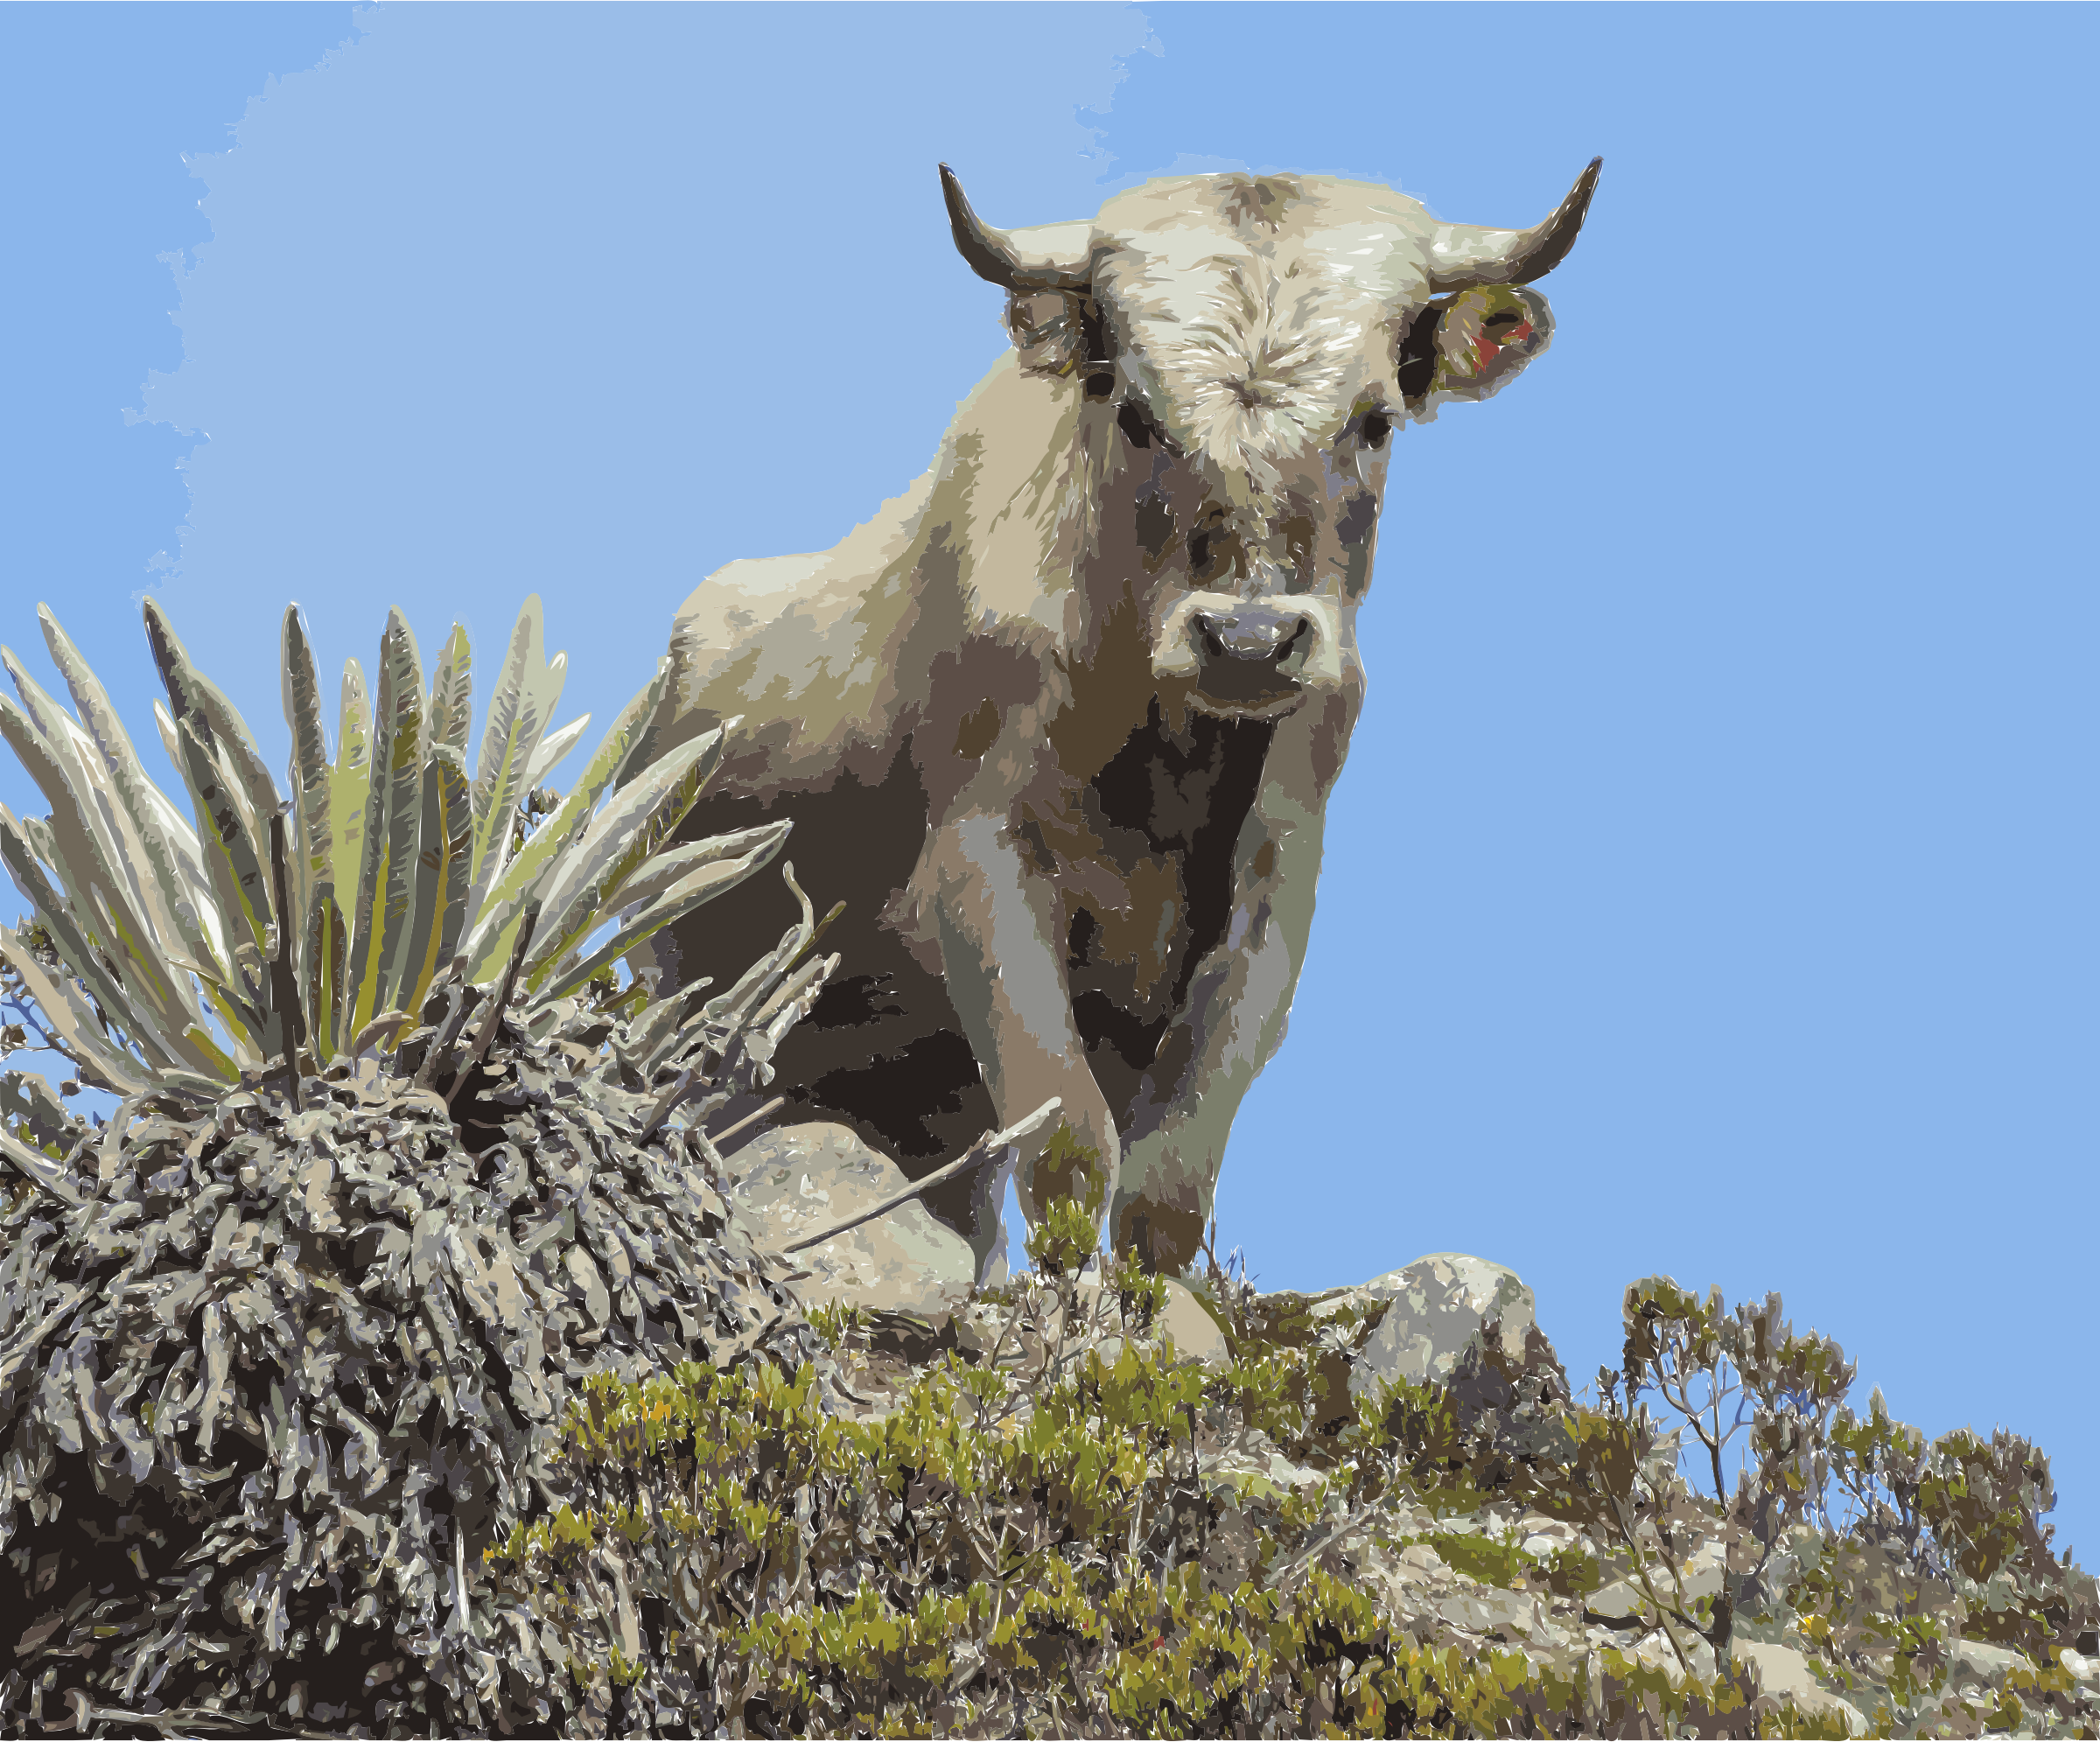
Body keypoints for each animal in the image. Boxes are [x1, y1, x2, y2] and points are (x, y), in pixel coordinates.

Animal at [626, 159, 1600, 1279]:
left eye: (1377, 420)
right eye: (1139, 414)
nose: (1250, 637)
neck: (1172, 759)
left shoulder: (1275, 892)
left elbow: (1167, 1188)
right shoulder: (984, 867)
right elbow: (1067, 1149)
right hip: (703, 1012)